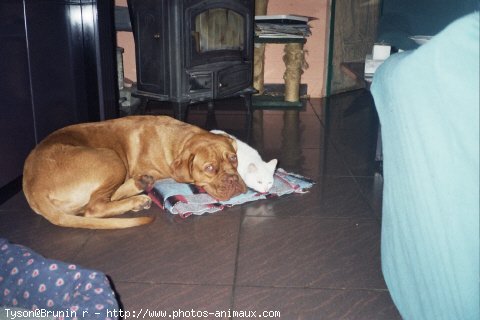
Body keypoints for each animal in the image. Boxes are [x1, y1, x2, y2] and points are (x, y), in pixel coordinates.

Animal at [21, 116, 248, 229]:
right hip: (110, 159)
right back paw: (138, 198)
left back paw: (141, 185)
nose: (233, 180)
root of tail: (33, 187)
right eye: (209, 168)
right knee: (95, 207)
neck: (179, 141)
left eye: (233, 158)